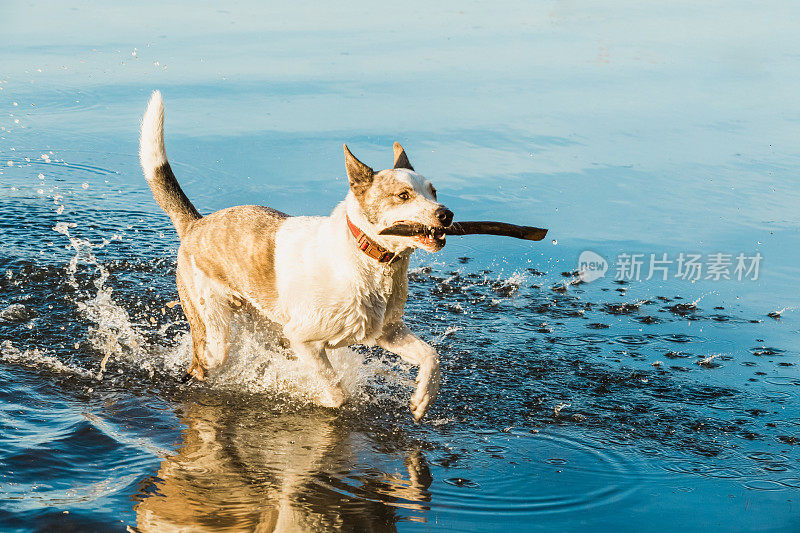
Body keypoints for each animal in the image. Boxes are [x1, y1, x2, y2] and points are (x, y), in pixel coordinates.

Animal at [141, 90, 454, 420]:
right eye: (403, 196)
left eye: (433, 191)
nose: (446, 214)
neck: (369, 259)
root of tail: (195, 224)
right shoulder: (304, 340)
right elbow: (336, 391)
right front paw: (322, 400)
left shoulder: (387, 331)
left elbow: (431, 355)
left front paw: (421, 400)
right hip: (214, 331)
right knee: (199, 366)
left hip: (268, 324)